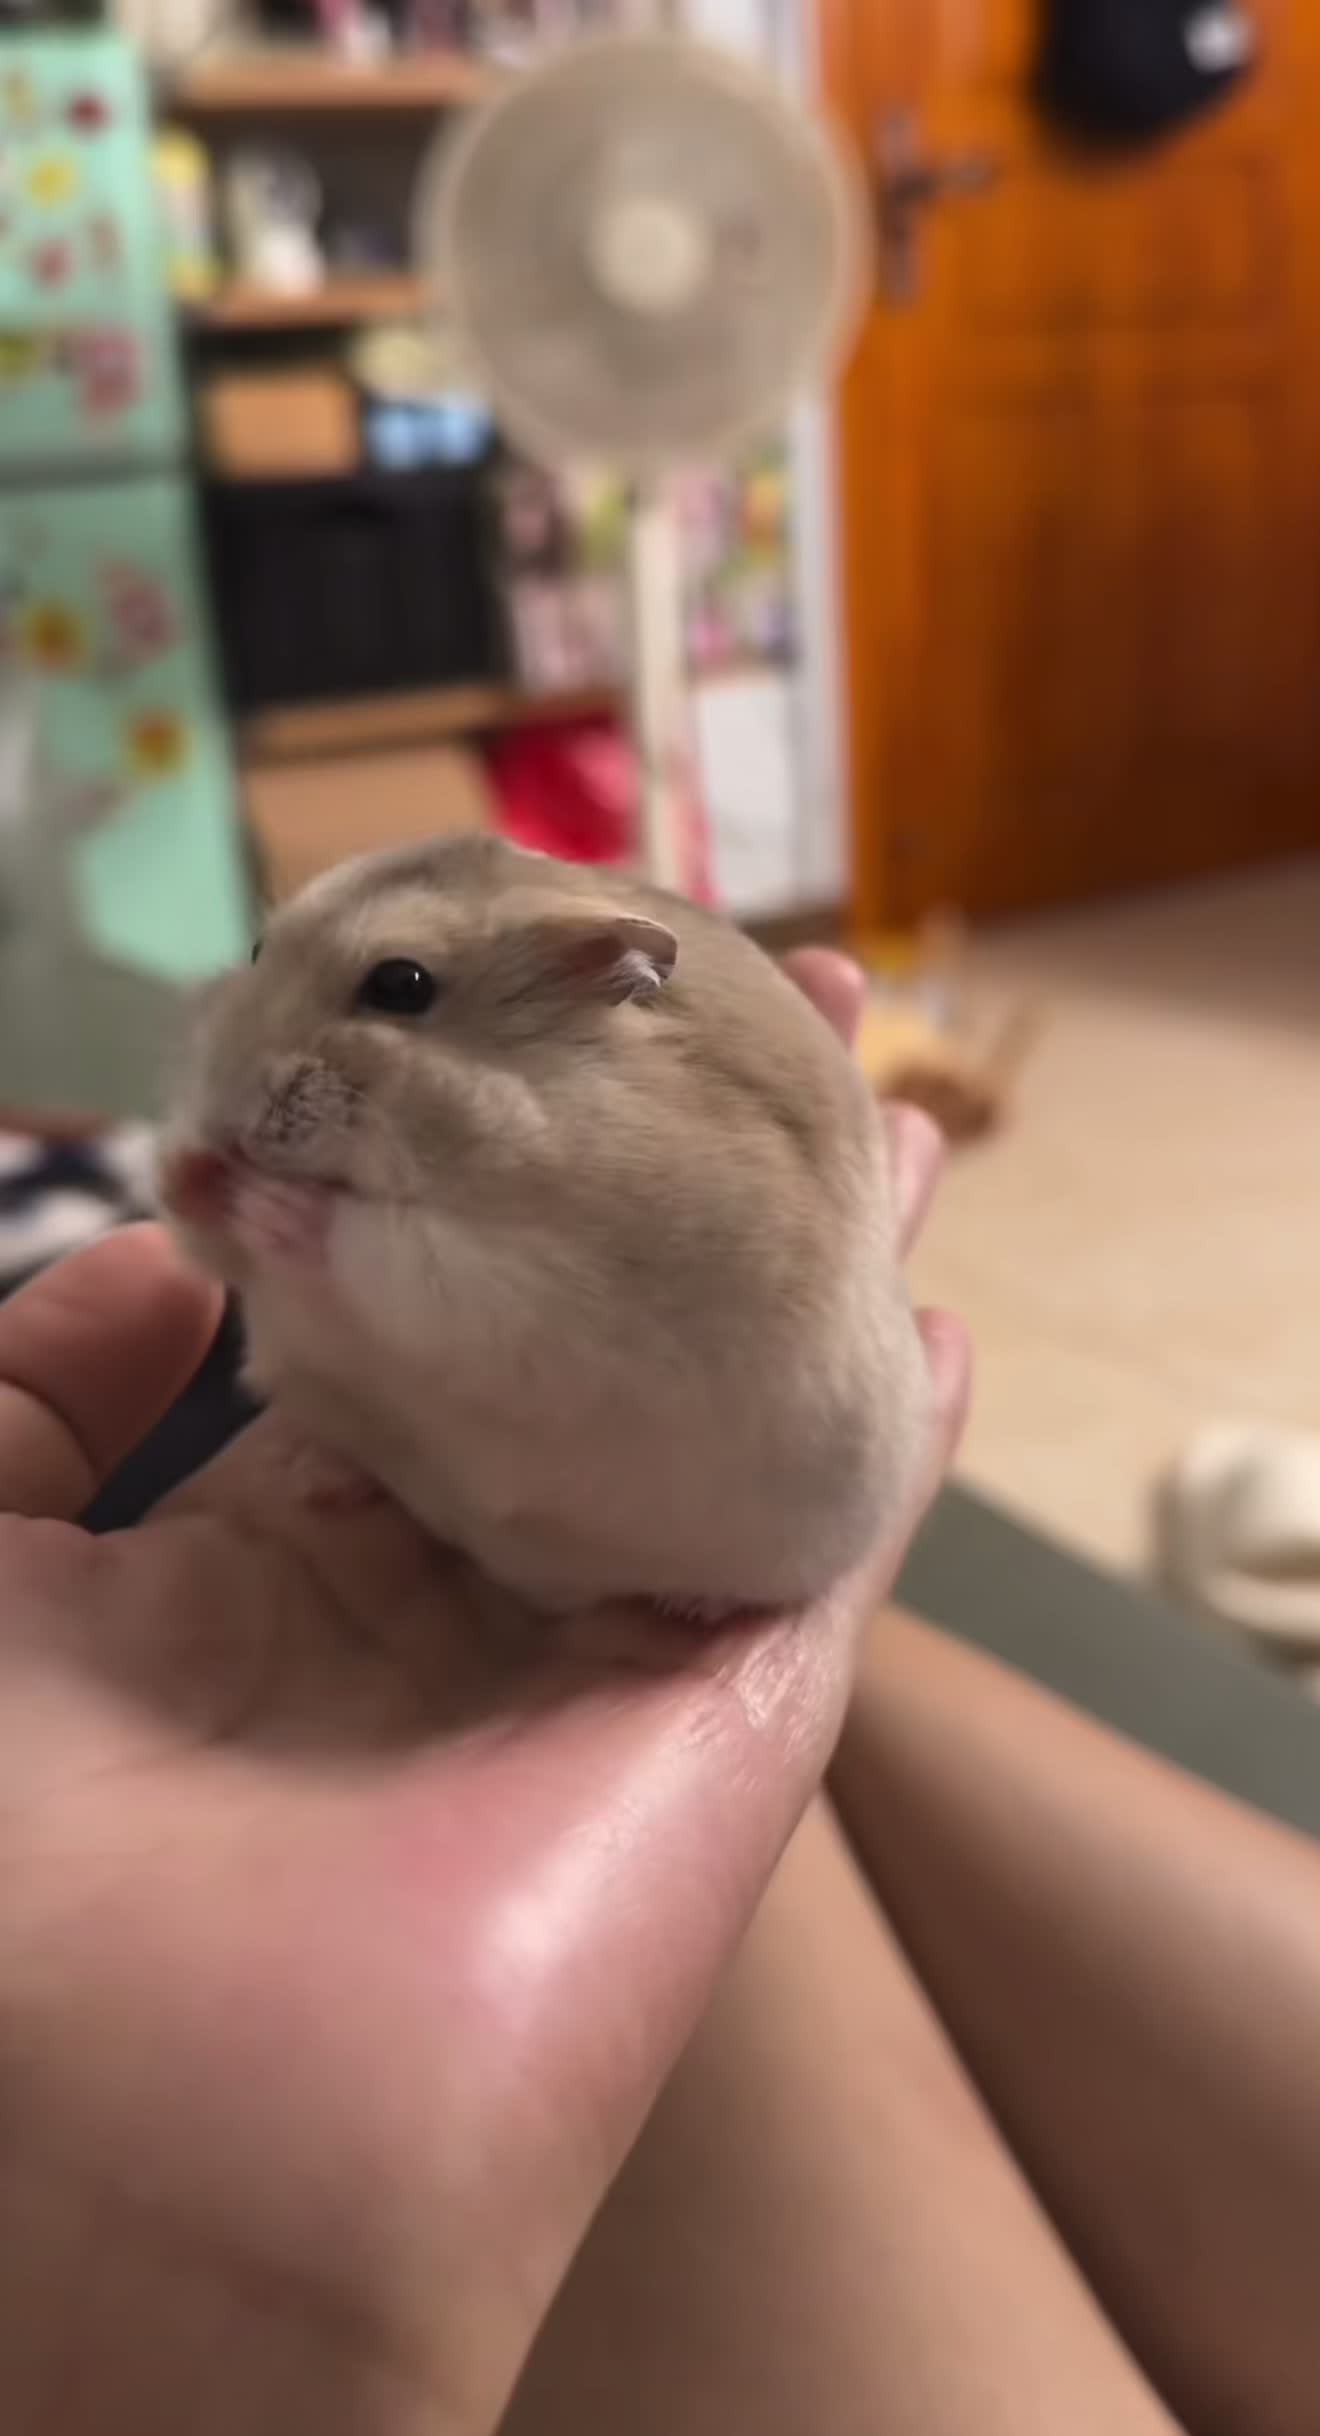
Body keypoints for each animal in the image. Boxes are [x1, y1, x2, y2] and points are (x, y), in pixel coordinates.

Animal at [160, 834, 928, 1617]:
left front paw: (276, 1204)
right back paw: (315, 1475)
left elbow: (388, 1254)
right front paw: (187, 1171)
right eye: (257, 949)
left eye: (401, 984)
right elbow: (215, 1244)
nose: (229, 1125)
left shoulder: (533, 1296)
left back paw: (696, 1610)